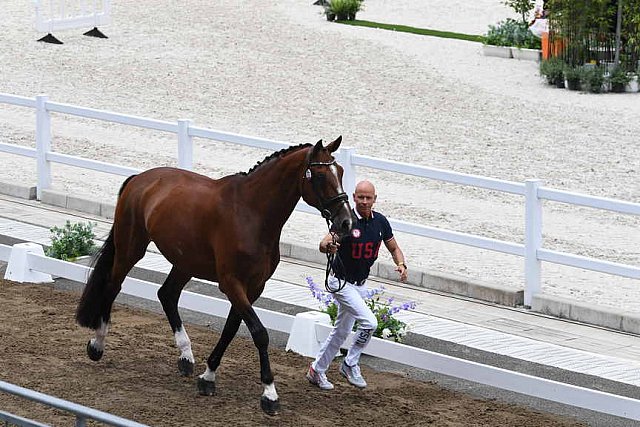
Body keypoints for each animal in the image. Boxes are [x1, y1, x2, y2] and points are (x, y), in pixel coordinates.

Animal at [77, 136, 356, 414]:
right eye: (319, 175)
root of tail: (140, 179)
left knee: (167, 294)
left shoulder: (254, 287)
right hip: (131, 249)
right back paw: (97, 345)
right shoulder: (232, 283)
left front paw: (208, 377)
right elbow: (259, 333)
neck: (252, 213)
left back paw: (186, 357)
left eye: (341, 172)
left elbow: (230, 330)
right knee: (113, 287)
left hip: (184, 262)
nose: (346, 222)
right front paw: (269, 394)